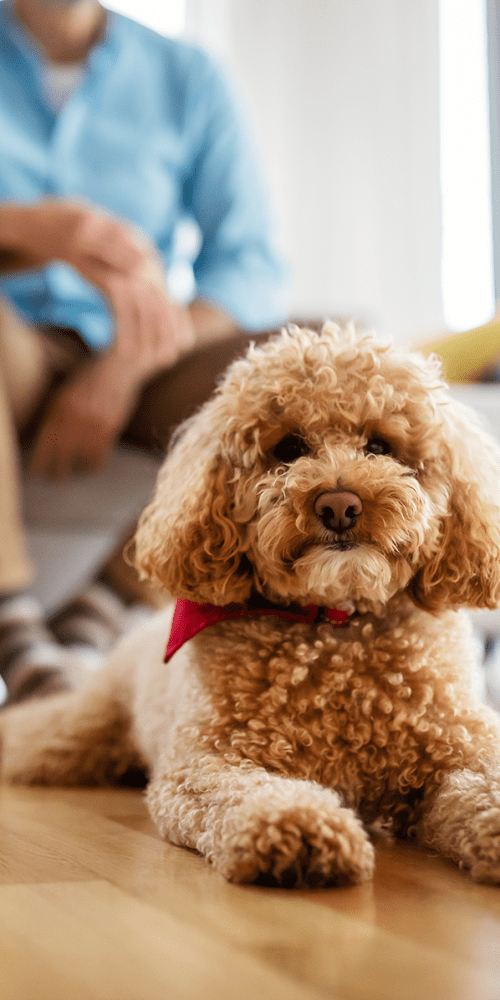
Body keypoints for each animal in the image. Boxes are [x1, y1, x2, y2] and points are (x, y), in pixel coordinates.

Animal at [0, 324, 500, 888]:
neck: (335, 623)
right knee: (36, 733)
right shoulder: (208, 761)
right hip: (84, 728)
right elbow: (256, 794)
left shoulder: (462, 747)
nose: (339, 504)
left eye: (379, 445)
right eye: (288, 448)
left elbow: (480, 785)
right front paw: (299, 827)